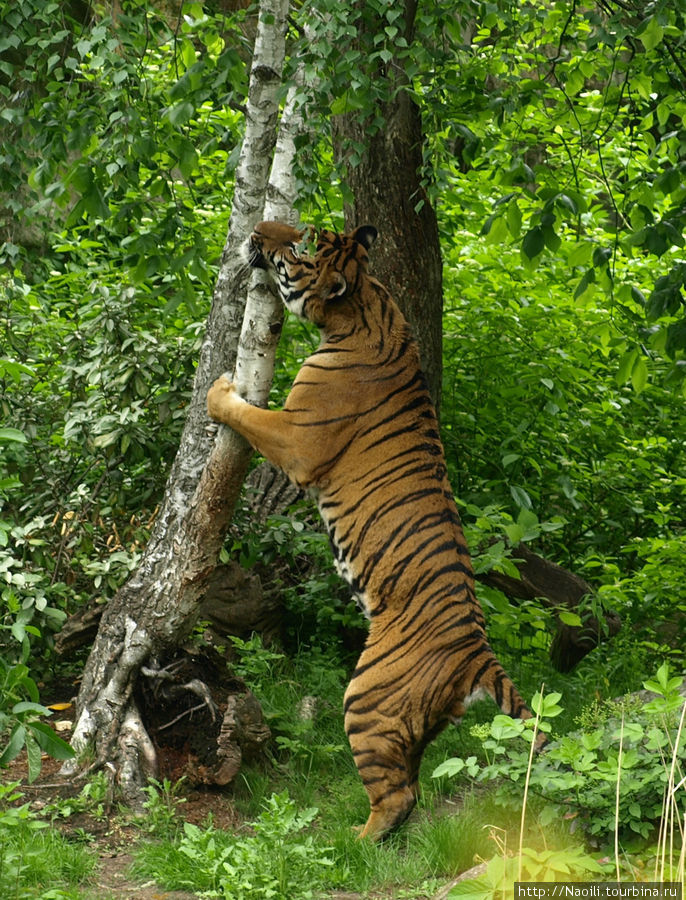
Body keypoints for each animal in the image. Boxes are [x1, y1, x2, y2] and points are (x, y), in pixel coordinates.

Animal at [207, 221, 540, 840]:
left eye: (299, 247)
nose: (260, 229)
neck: (363, 303)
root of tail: (478, 652)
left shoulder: (297, 440)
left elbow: (248, 415)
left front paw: (219, 391)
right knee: (411, 786)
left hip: (366, 697)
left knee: (396, 797)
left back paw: (348, 843)